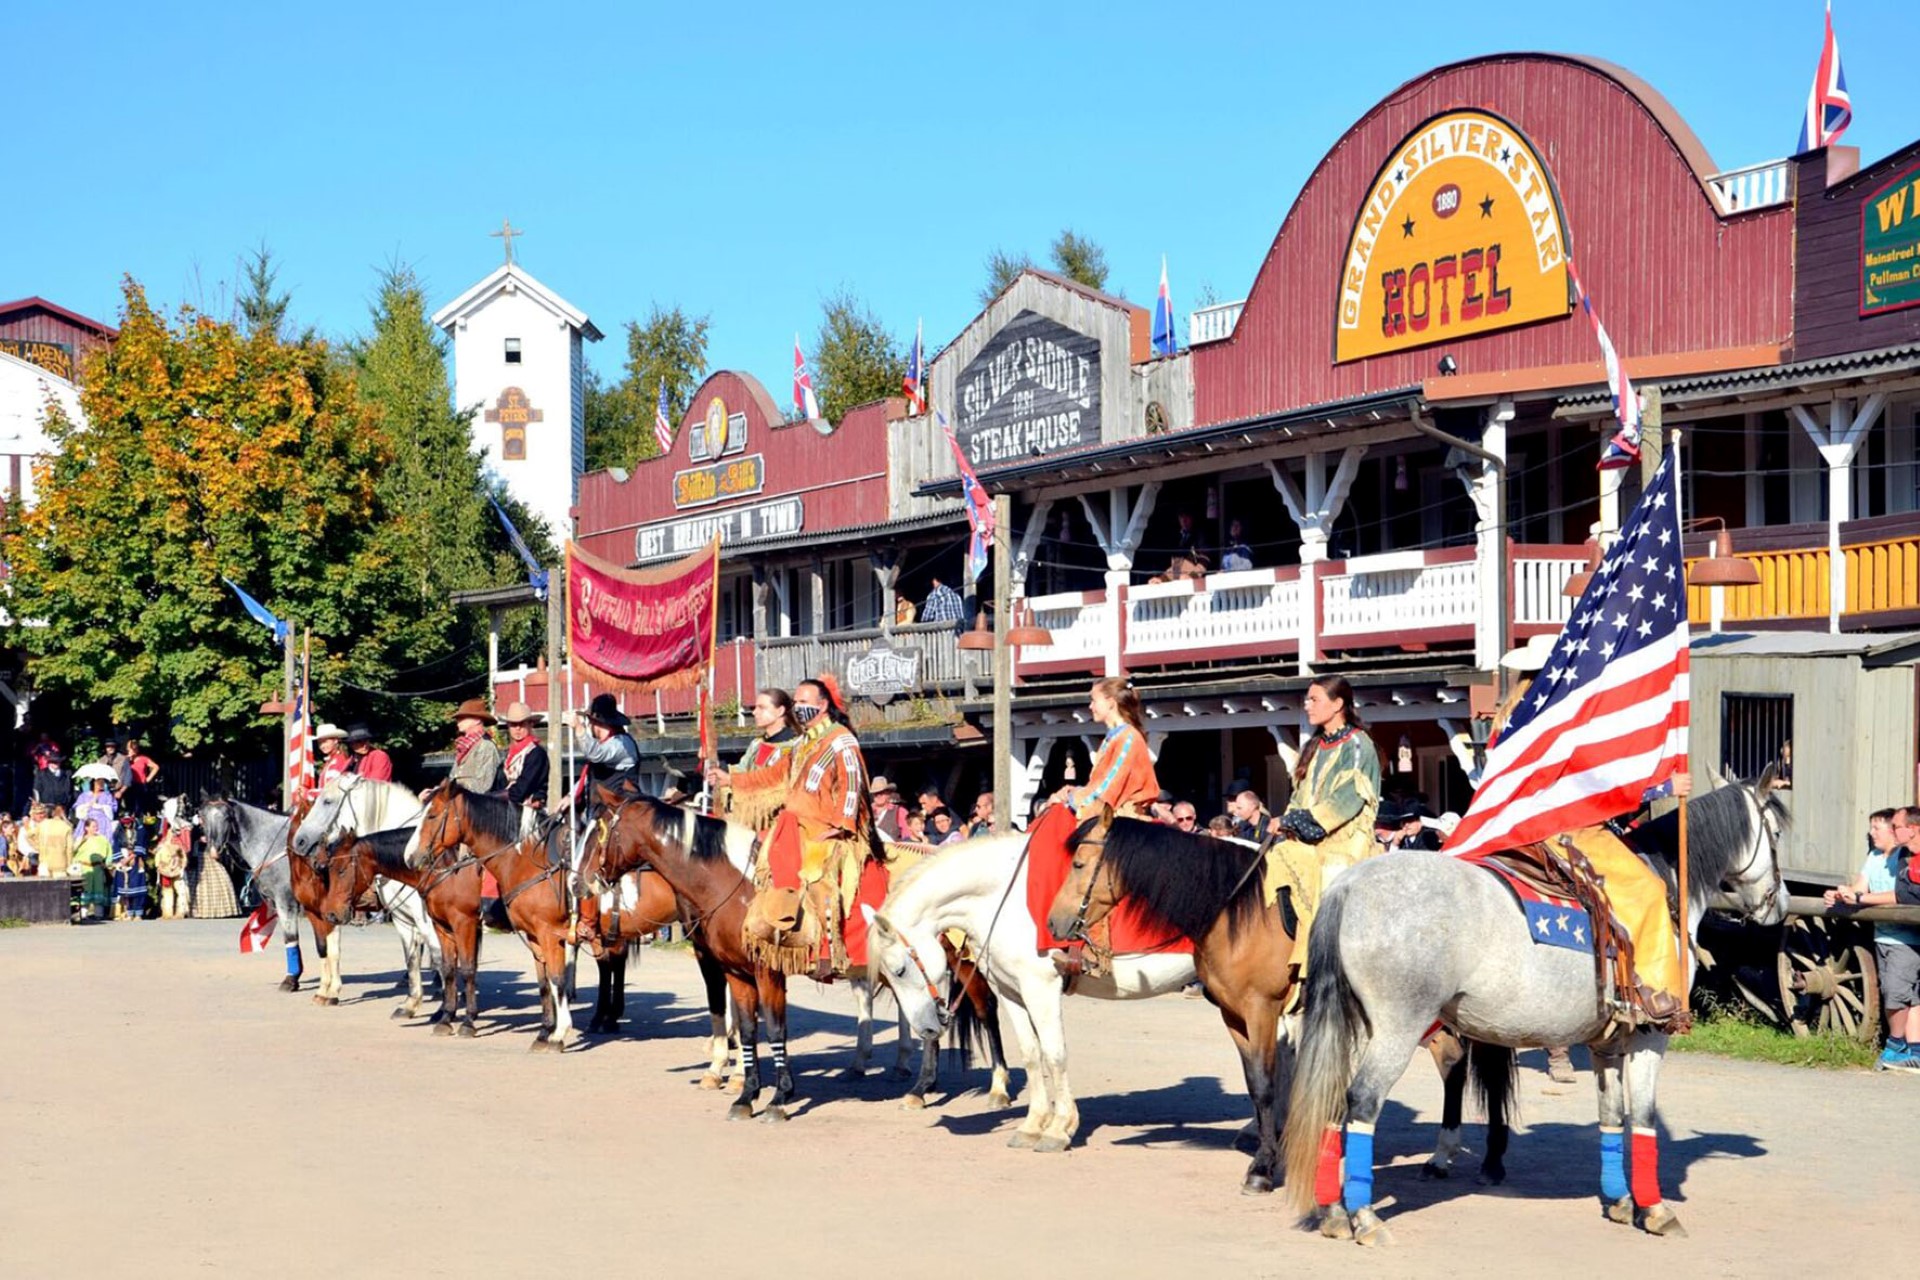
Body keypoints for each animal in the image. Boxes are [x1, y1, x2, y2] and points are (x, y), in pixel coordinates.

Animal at [871, 836, 1198, 1159]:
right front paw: (1032, 1126)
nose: (926, 1029)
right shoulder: (1011, 990)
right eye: (888, 975)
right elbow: (1030, 1054)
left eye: (900, 970)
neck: (1003, 898)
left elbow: (1054, 1055)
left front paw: (1059, 1128)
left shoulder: (1041, 987)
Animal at [1282, 771, 1789, 1243]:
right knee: (1364, 1100)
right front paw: (1656, 1210)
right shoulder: (1650, 1035)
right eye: (1778, 834)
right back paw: (1364, 1217)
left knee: (1335, 1098)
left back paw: (1334, 1213)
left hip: (1356, 1027)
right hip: (1398, 1030)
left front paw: (1620, 1201)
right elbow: (1643, 1117)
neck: (1670, 883)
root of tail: (1349, 886)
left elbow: (1611, 1115)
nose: (1780, 905)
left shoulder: (1606, 1042)